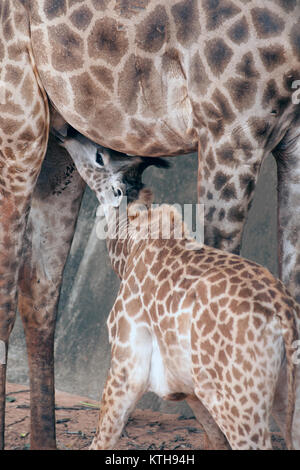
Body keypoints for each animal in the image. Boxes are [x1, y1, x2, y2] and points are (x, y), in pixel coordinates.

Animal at [60, 130, 300, 450]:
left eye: (101, 156)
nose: (65, 135)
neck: (130, 245)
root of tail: (284, 314)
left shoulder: (126, 365)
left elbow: (103, 438)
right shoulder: (186, 384)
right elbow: (215, 439)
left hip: (240, 403)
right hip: (282, 396)